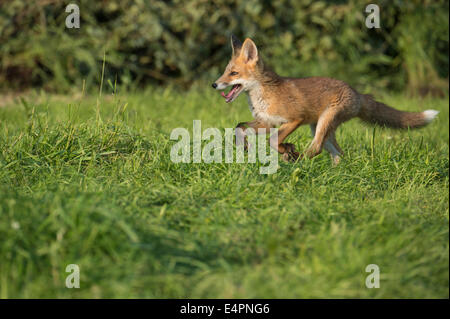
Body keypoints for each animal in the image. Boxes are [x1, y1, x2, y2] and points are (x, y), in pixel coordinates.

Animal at [213, 36, 438, 164]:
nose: (215, 85)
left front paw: (287, 149)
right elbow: (239, 126)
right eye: (225, 72)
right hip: (321, 129)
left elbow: (274, 140)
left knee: (316, 149)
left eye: (233, 73)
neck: (264, 95)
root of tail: (357, 92)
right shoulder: (267, 122)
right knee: (338, 154)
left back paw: (297, 161)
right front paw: (244, 146)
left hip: (323, 124)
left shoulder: (295, 119)